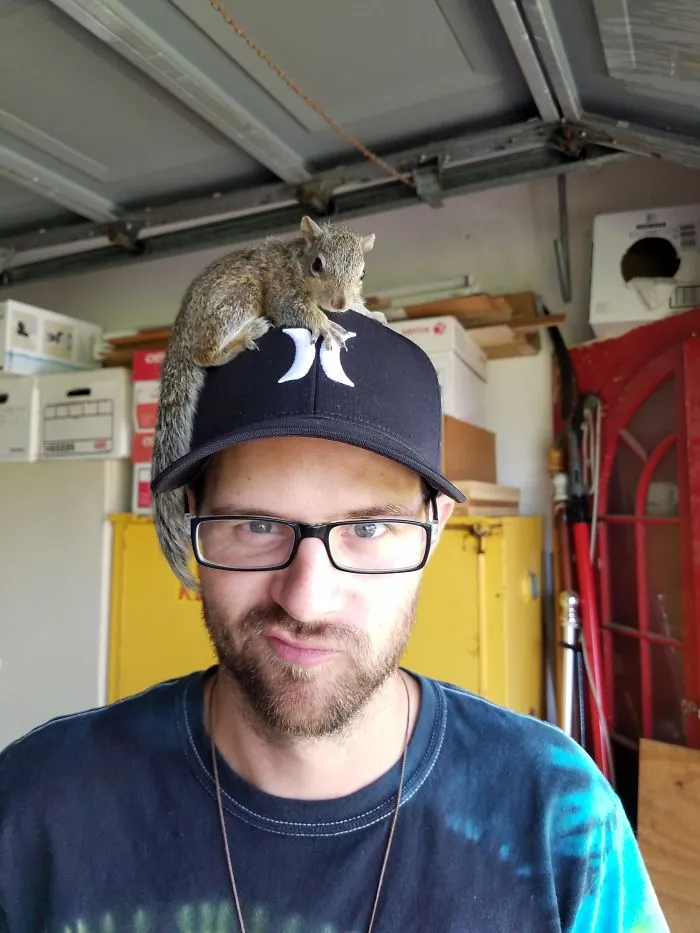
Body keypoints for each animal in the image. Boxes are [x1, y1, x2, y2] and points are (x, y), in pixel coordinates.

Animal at [152, 214, 385, 590]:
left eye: (362, 274)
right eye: (318, 265)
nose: (339, 303)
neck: (295, 260)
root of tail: (180, 337)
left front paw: (370, 312)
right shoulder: (281, 289)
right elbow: (294, 308)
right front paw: (325, 324)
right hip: (240, 296)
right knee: (206, 354)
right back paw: (242, 338)